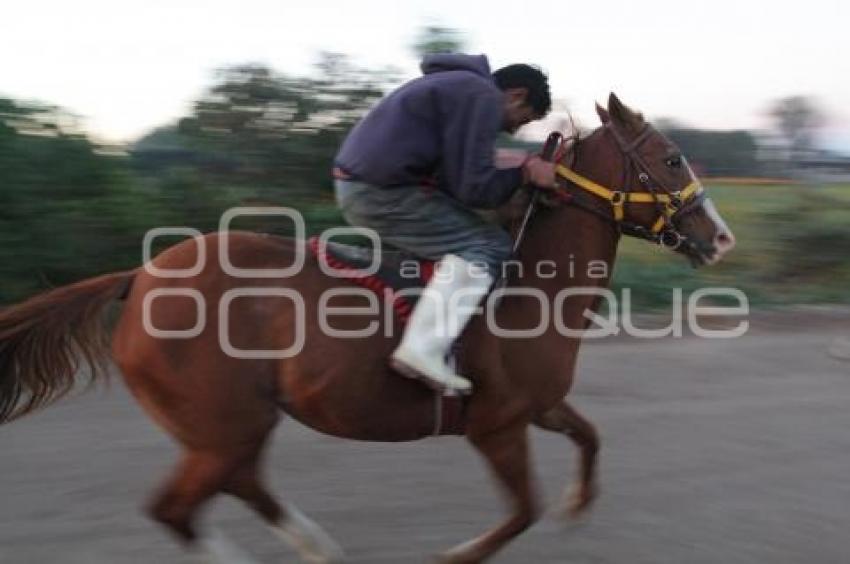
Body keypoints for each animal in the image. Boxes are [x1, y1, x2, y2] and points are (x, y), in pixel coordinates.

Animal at [0, 94, 732, 560]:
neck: (530, 286)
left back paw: (316, 547)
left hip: (233, 424)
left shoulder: (539, 406)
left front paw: (580, 504)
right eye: (672, 158)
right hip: (224, 422)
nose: (720, 237)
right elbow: (521, 511)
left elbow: (591, 439)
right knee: (178, 509)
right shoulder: (496, 425)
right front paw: (457, 554)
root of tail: (140, 275)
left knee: (237, 486)